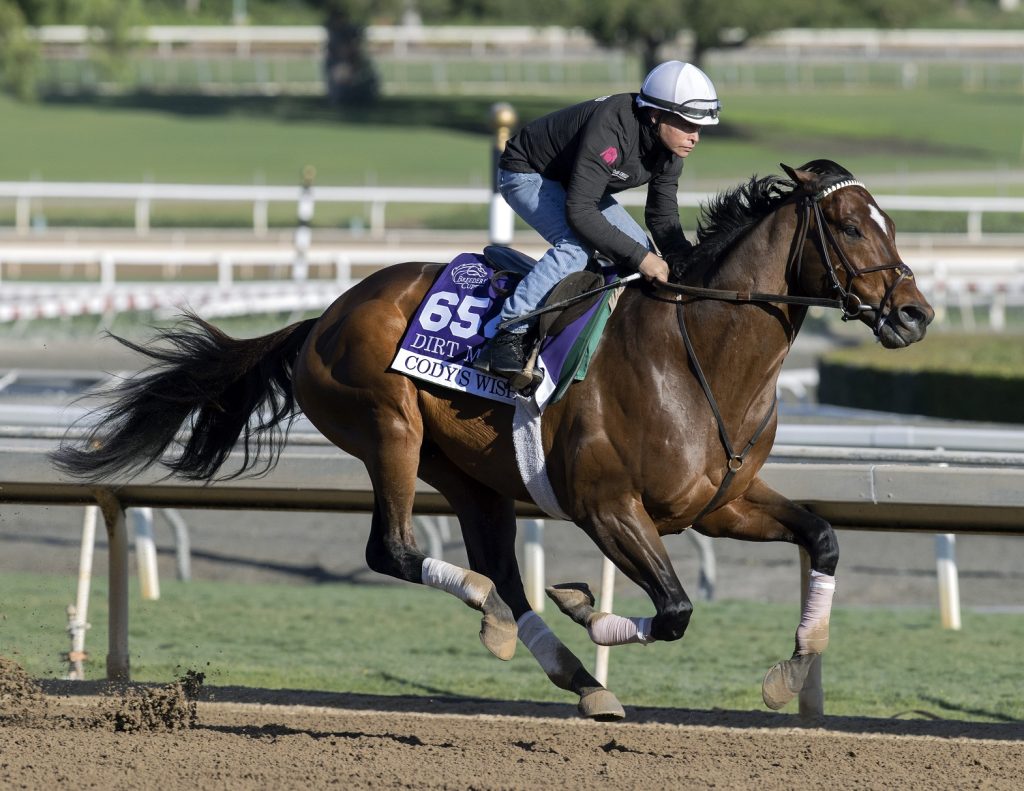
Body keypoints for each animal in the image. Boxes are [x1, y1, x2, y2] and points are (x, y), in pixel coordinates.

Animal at [54, 163, 937, 721]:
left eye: (892, 222)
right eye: (851, 225)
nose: (916, 312)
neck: (697, 352)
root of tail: (325, 315)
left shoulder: (721, 502)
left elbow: (821, 536)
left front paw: (794, 665)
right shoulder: (605, 505)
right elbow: (677, 607)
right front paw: (587, 605)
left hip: (472, 475)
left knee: (501, 570)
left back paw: (569, 671)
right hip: (391, 428)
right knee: (399, 550)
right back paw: (497, 612)